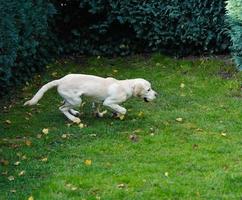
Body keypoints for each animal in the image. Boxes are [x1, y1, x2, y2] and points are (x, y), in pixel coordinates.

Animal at [24, 74, 157, 122]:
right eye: (148, 89)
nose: (157, 95)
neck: (125, 86)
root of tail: (60, 80)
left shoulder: (98, 101)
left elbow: (97, 107)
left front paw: (101, 114)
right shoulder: (108, 101)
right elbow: (123, 109)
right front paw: (119, 114)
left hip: (72, 99)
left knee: (64, 105)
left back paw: (74, 113)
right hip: (77, 100)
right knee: (62, 108)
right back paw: (74, 119)